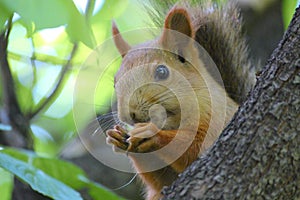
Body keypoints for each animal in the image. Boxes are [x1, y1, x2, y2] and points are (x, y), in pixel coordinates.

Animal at [105, 0, 255, 199]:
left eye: (162, 72)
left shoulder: (217, 122)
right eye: (115, 82)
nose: (129, 115)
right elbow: (161, 181)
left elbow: (192, 147)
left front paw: (151, 133)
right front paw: (117, 137)